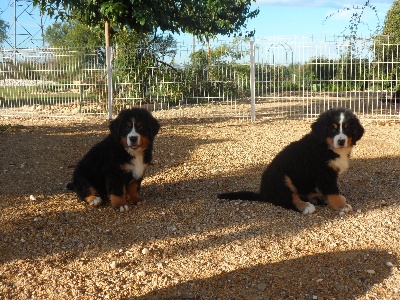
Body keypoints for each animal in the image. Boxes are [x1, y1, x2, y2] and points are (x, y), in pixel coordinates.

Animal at [217, 107, 364, 213]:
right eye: (332, 129)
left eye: (347, 129)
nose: (341, 141)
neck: (327, 147)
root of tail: (264, 193)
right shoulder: (324, 173)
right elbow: (332, 192)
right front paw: (341, 206)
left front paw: (340, 201)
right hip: (282, 178)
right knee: (288, 198)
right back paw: (305, 207)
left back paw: (316, 198)